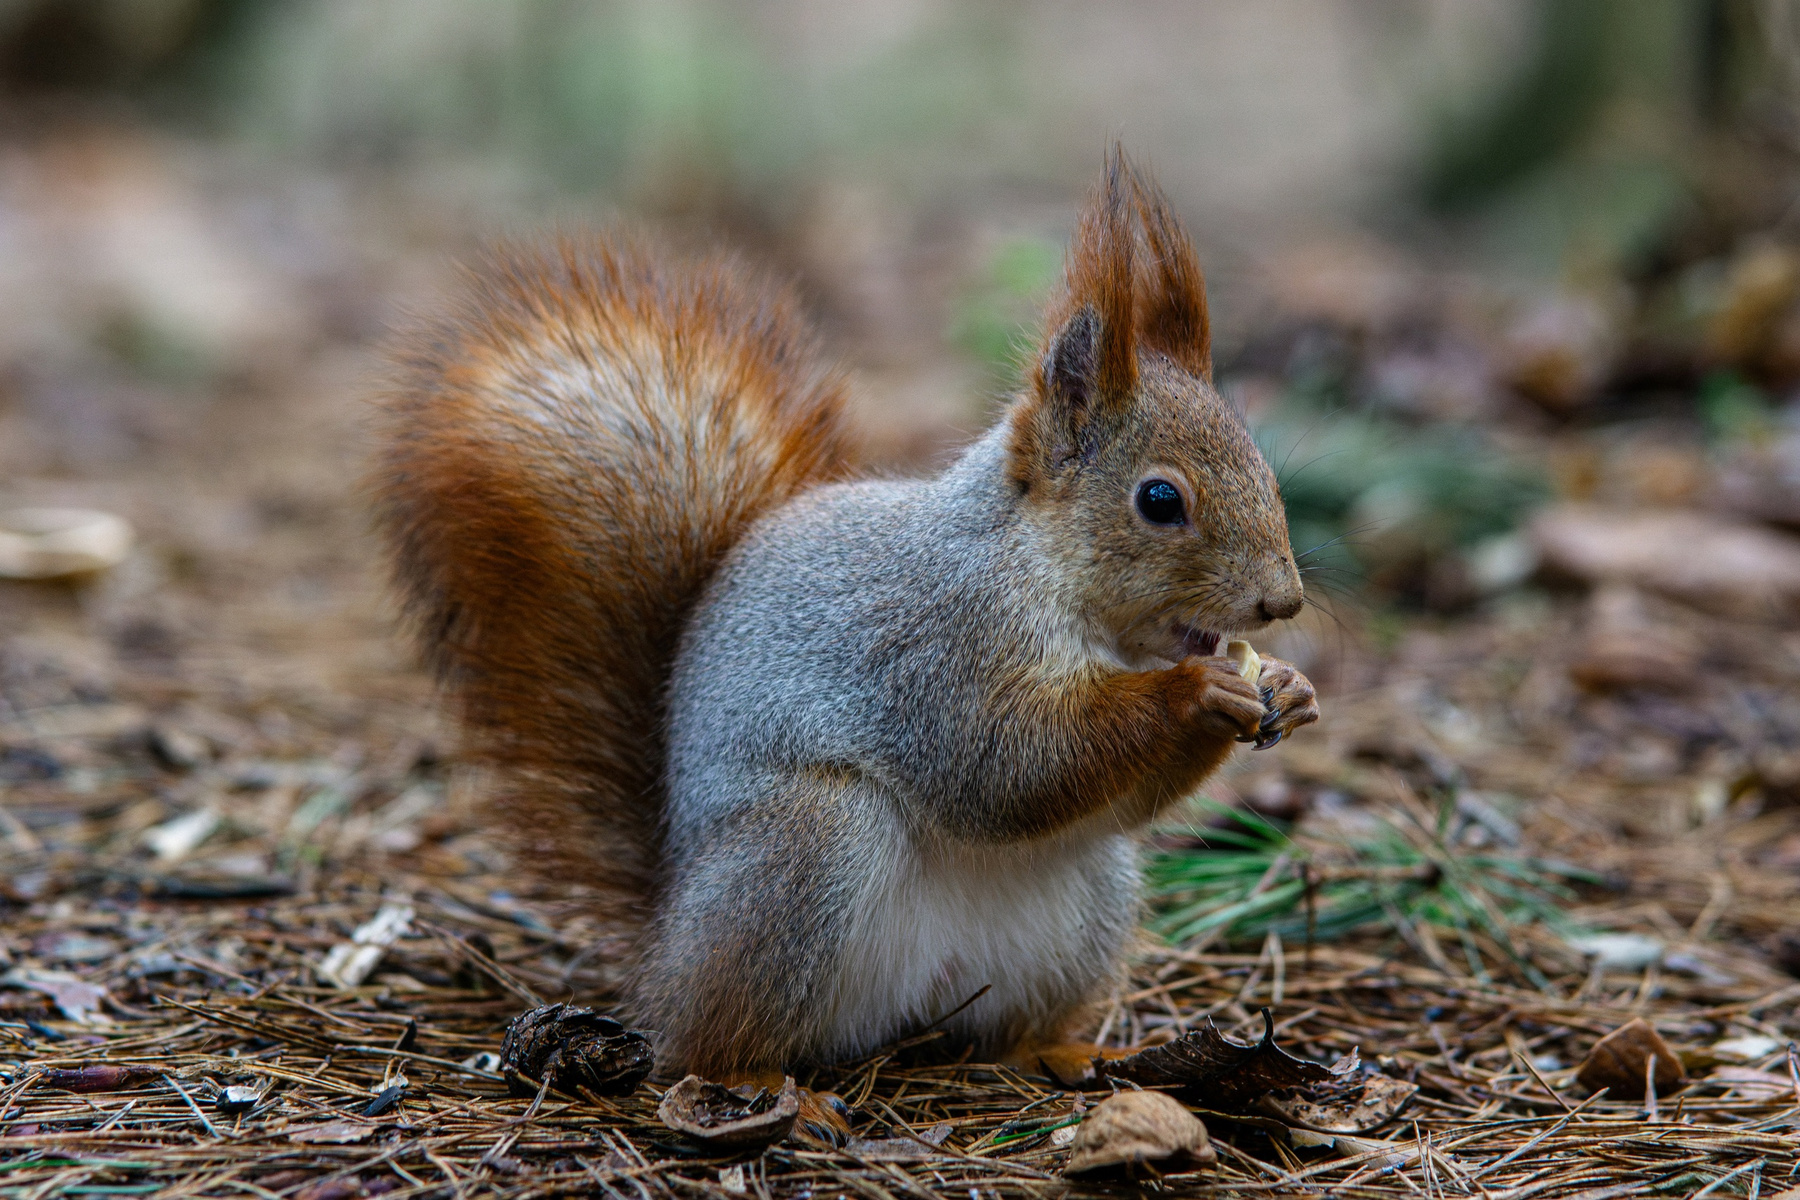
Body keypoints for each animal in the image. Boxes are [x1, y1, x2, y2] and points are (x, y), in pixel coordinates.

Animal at [372, 146, 1318, 1113]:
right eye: (1159, 500)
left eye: (1261, 464)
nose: (1282, 603)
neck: (1046, 580)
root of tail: (665, 940)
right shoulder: (934, 650)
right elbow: (1002, 767)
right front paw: (1197, 690)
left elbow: (1109, 797)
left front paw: (1286, 688)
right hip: (805, 849)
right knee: (705, 1036)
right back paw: (763, 1080)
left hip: (1089, 897)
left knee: (1012, 1021)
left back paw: (1067, 1052)